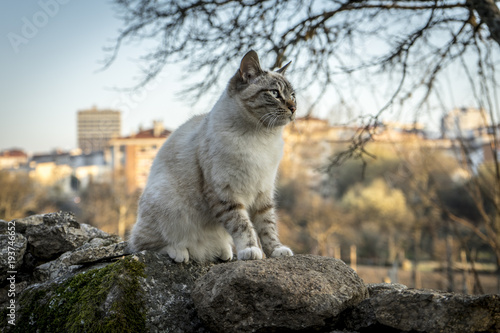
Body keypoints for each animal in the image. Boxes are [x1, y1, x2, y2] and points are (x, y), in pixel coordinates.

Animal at [128, 50, 296, 262]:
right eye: (274, 93)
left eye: (293, 95)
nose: (294, 108)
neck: (262, 137)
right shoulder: (225, 193)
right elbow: (243, 226)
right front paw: (250, 251)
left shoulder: (263, 193)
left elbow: (268, 228)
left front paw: (277, 251)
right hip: (168, 204)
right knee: (140, 245)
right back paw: (180, 252)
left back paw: (224, 252)